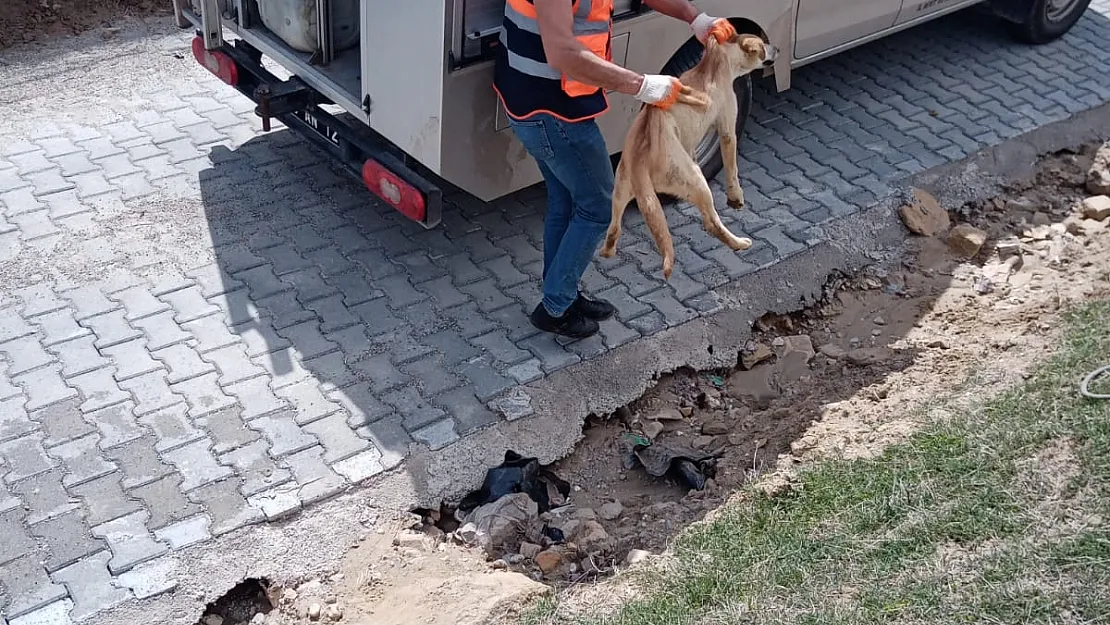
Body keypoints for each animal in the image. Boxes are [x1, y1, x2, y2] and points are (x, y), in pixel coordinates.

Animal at [599, 33, 781, 279]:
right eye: (764, 45)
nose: (777, 48)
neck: (716, 60)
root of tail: (640, 162)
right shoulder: (727, 128)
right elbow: (731, 165)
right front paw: (736, 196)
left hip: (620, 192)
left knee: (613, 229)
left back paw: (607, 250)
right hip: (696, 182)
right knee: (711, 223)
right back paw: (738, 243)